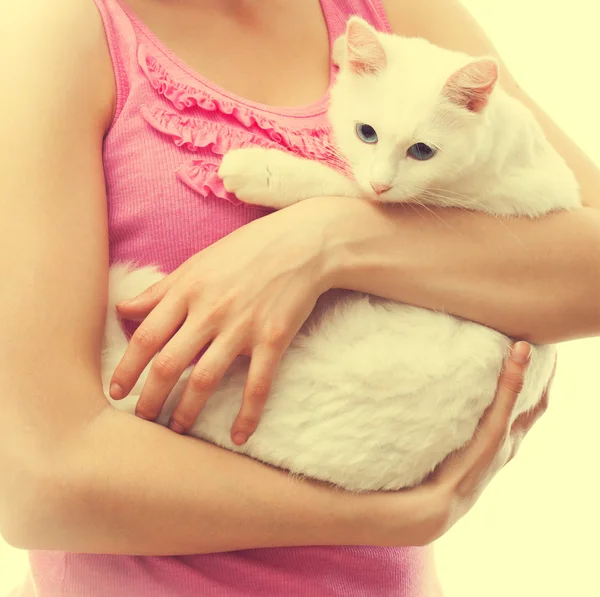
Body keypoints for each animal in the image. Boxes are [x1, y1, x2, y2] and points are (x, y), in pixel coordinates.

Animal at [104, 18, 580, 492]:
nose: (382, 184)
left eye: (422, 151)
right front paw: (344, 49)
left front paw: (262, 171)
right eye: (366, 132)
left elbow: (333, 188)